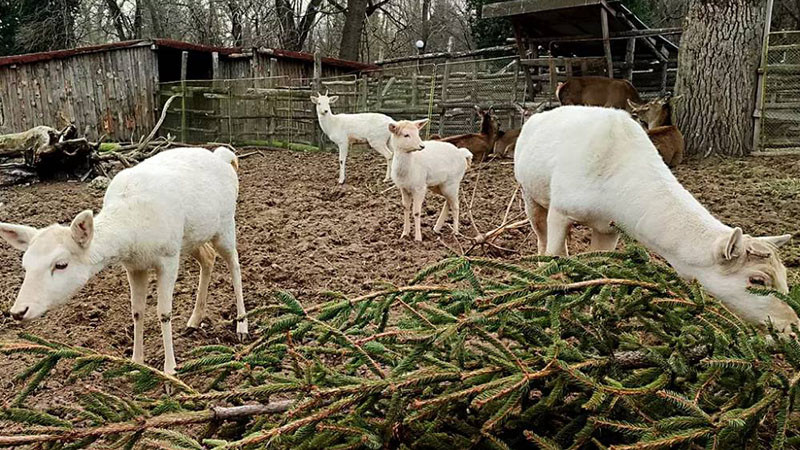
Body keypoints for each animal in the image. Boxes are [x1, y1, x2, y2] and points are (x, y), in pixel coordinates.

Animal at [0, 147, 248, 372]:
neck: (133, 233)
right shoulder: (134, 266)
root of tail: (224, 157)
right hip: (192, 238)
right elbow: (137, 311)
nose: (18, 311)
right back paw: (194, 321)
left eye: (61, 264)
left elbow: (164, 313)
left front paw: (170, 370)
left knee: (234, 263)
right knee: (208, 257)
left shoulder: (168, 256)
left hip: (225, 224)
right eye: (25, 265)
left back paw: (242, 326)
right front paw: (136, 363)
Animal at [516, 104, 796, 330]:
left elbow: (596, 270)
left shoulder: (609, 229)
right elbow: (552, 257)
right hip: (529, 193)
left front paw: (590, 313)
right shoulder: (561, 208)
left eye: (785, 275)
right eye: (757, 280)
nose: (792, 327)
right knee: (542, 237)